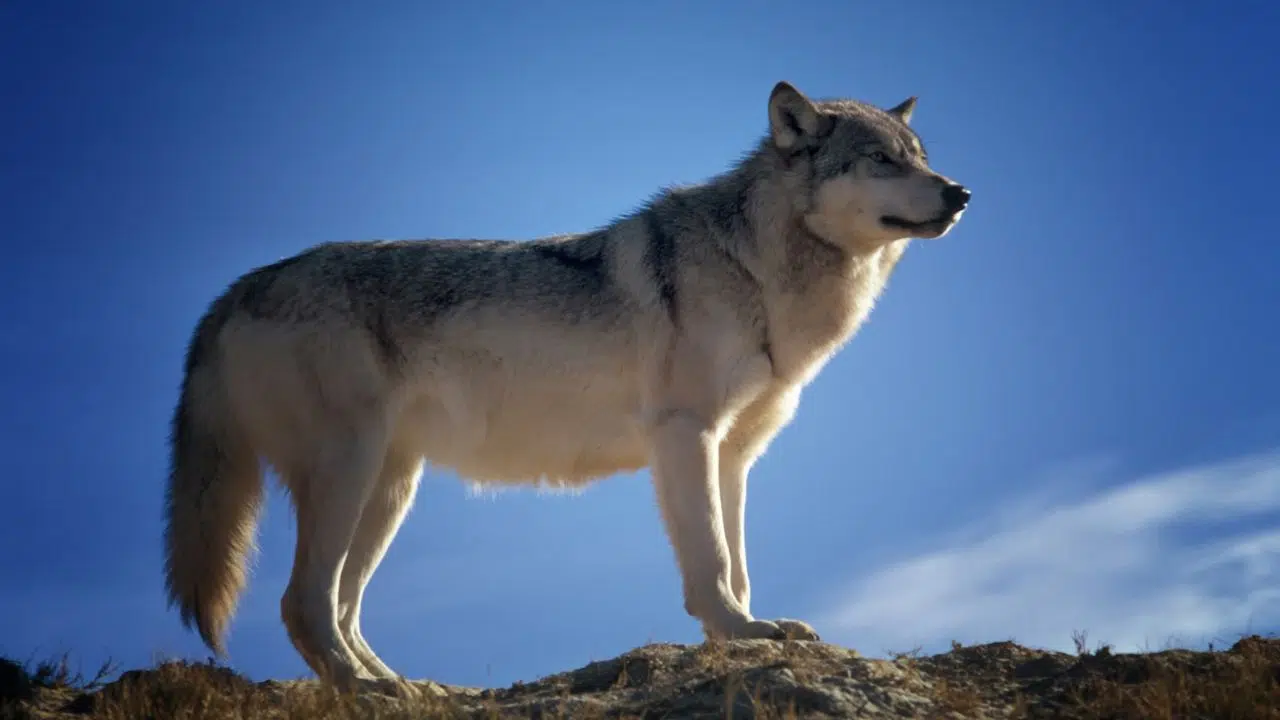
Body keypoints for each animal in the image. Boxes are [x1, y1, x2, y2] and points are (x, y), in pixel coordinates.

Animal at [163, 80, 970, 694]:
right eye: (881, 161)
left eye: (921, 159)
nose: (961, 193)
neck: (757, 269)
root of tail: (237, 288)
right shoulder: (686, 435)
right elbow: (710, 561)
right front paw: (738, 633)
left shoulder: (734, 455)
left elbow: (739, 563)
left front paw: (747, 631)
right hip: (350, 473)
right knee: (303, 603)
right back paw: (364, 690)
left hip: (390, 490)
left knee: (342, 607)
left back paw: (404, 686)